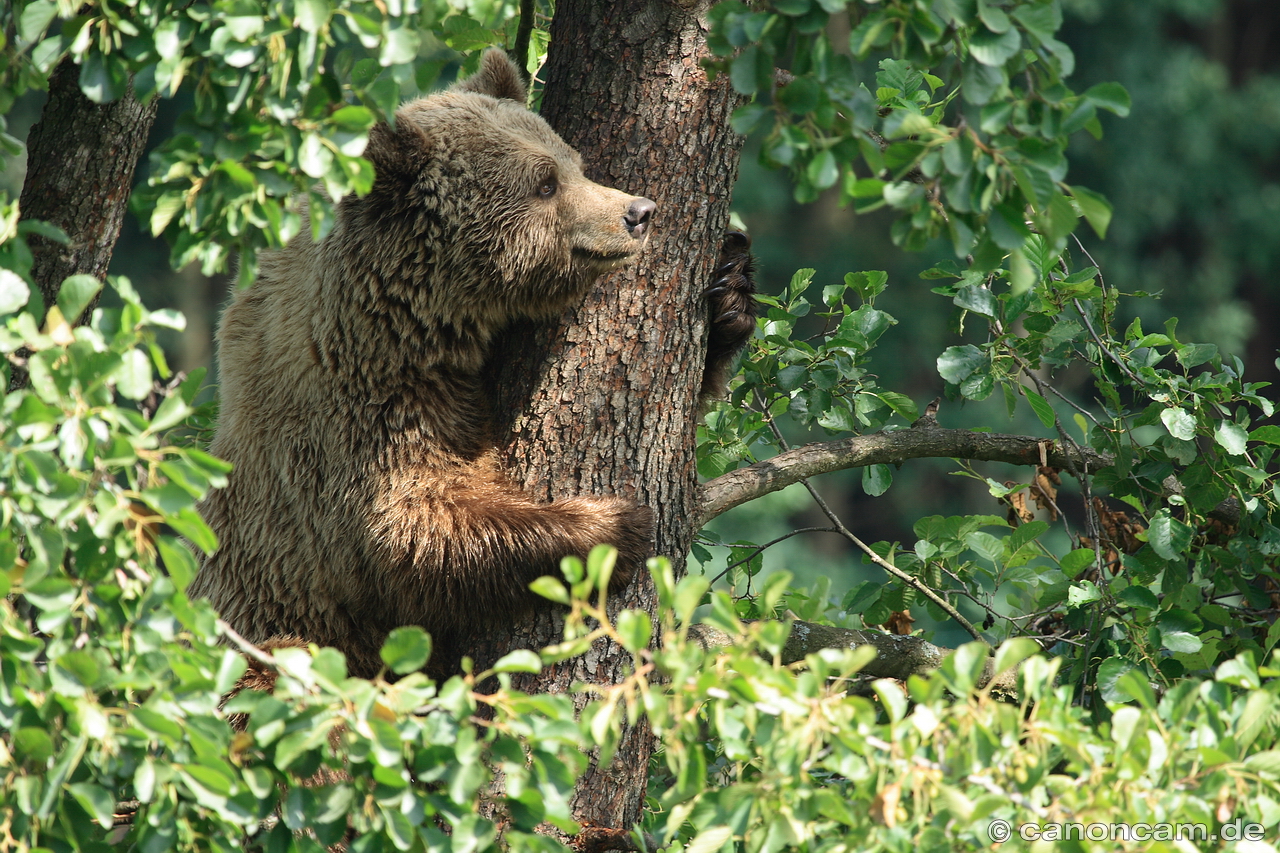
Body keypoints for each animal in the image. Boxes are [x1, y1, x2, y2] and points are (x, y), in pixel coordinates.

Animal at [185, 51, 752, 676]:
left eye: (573, 163)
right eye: (545, 183)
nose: (639, 212)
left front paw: (730, 291)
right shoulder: (354, 412)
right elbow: (412, 527)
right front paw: (614, 525)